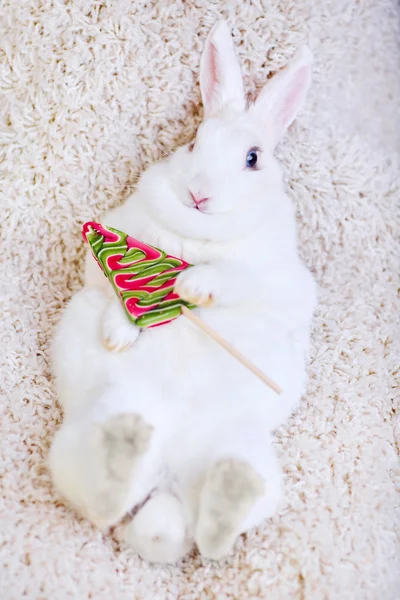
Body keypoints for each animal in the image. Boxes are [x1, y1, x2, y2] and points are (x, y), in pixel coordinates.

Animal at [48, 22, 318, 564]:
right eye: (193, 142)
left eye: (253, 159)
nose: (199, 194)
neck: (200, 235)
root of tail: (167, 478)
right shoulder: (109, 248)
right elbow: (113, 293)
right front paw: (119, 335)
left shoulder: (281, 280)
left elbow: (237, 277)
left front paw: (192, 284)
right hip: (103, 415)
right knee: (102, 501)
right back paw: (125, 453)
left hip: (246, 454)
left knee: (209, 528)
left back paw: (227, 491)